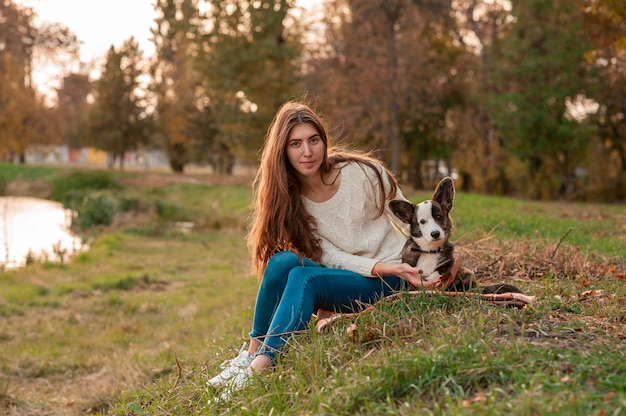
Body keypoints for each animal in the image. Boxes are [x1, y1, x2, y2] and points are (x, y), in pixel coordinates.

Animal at [390, 177, 520, 294]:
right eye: (422, 222)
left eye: (438, 216)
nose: (435, 234)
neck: (430, 250)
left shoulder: (449, 263)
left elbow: (441, 271)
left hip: (467, 273)